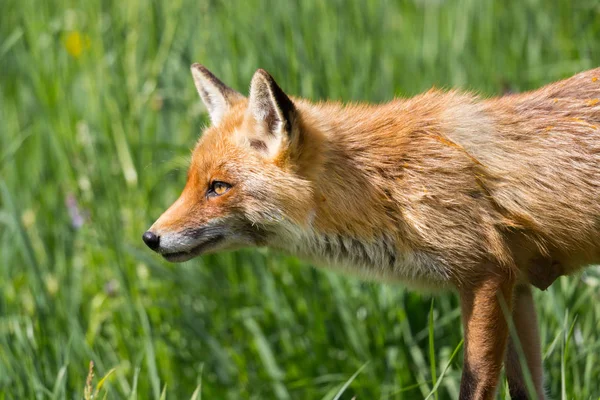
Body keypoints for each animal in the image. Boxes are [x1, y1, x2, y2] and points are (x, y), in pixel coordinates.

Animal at [144, 64, 600, 398]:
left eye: (218, 187)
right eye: (190, 182)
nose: (150, 238)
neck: (387, 187)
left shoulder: (487, 276)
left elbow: (474, 385)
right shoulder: (518, 287)